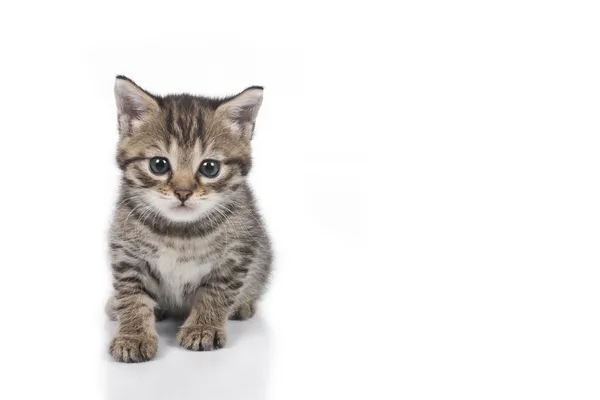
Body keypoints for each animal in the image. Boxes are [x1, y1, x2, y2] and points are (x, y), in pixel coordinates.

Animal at [107, 76, 272, 362]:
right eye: (159, 165)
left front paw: (203, 327)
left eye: (210, 168)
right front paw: (133, 336)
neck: (179, 231)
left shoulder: (239, 251)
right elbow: (132, 294)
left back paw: (243, 304)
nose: (183, 192)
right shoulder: (126, 251)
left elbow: (217, 291)